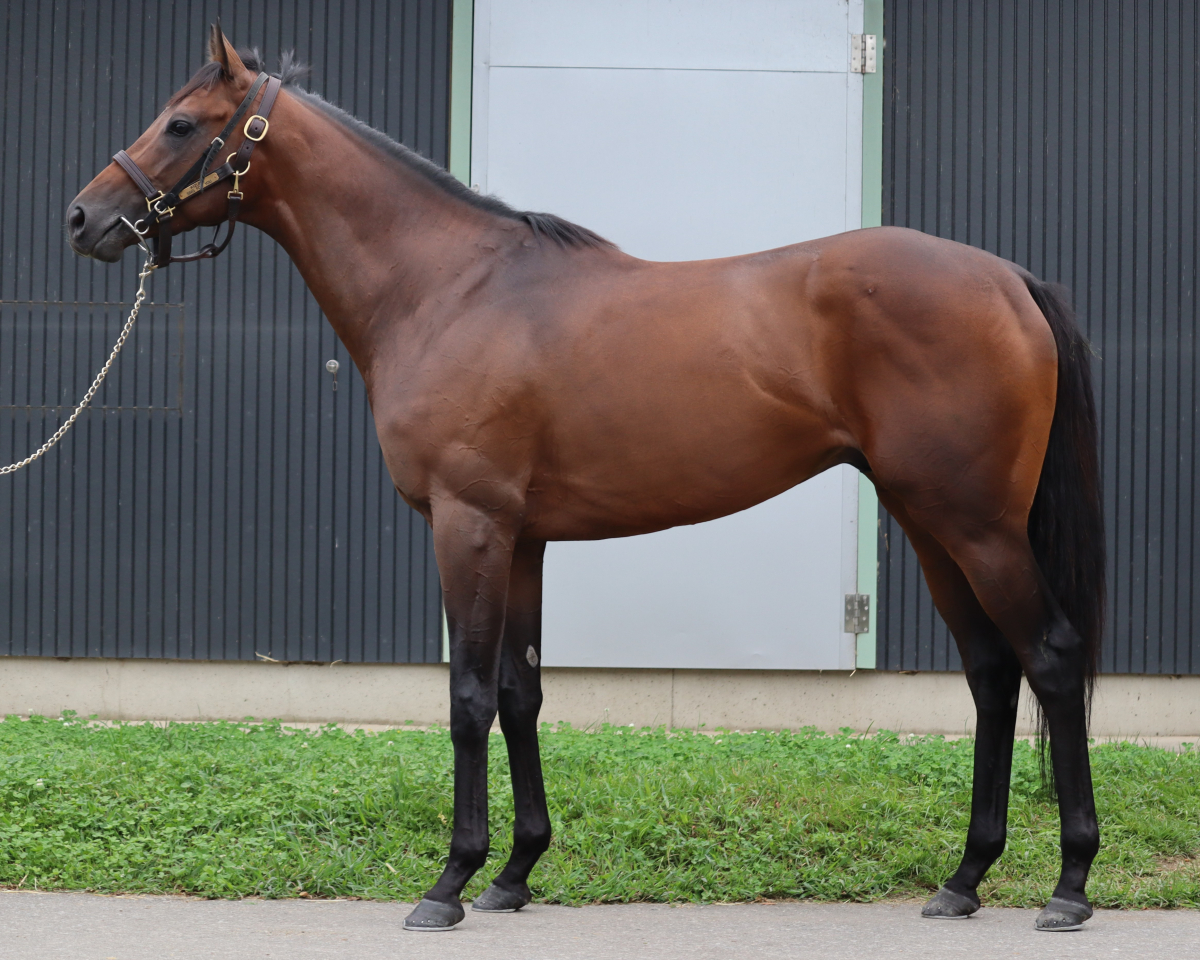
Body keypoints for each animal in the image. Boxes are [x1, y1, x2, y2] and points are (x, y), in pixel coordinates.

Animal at [65, 26, 1105, 933]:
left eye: (182, 124)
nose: (84, 218)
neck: (451, 289)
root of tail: (1008, 278)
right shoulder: (522, 538)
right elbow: (520, 693)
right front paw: (515, 873)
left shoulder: (468, 525)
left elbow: (468, 698)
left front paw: (450, 882)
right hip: (931, 523)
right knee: (991, 673)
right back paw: (964, 879)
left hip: (976, 524)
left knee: (1049, 659)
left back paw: (1069, 885)